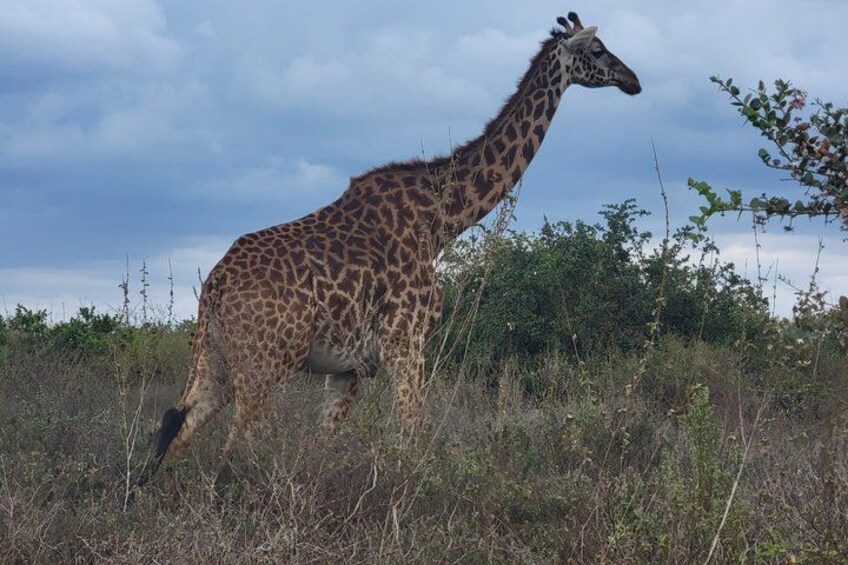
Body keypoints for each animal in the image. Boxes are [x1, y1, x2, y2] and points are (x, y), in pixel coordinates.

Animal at [137, 11, 641, 486]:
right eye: (598, 50)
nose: (633, 80)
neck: (441, 222)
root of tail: (215, 285)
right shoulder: (408, 343)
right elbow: (409, 438)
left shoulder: (349, 368)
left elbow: (323, 445)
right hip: (265, 364)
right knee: (234, 445)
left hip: (213, 360)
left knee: (177, 430)